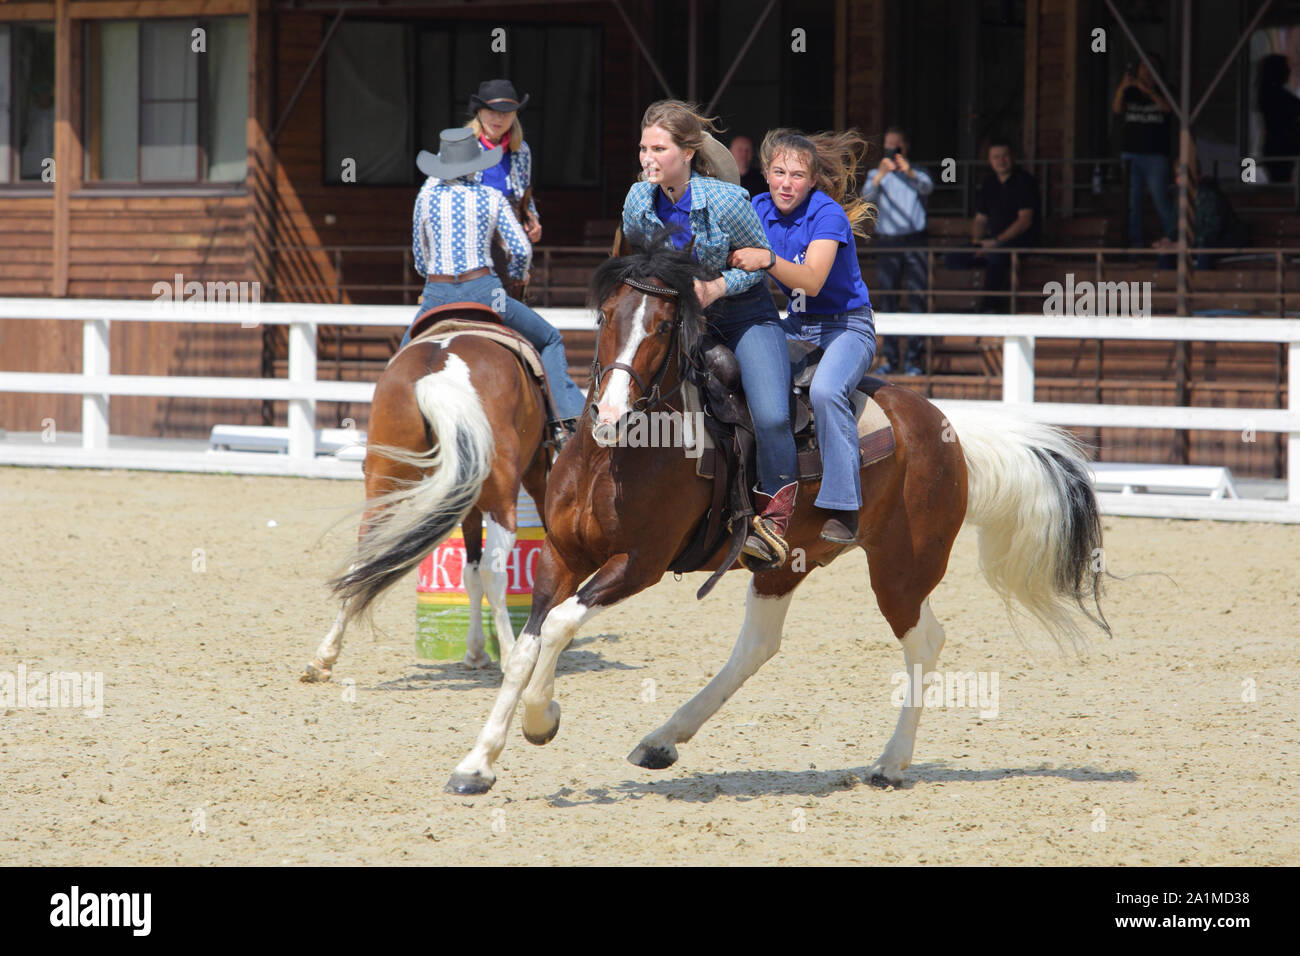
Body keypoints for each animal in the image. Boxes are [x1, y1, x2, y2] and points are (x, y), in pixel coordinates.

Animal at [304, 306, 553, 681]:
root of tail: (439, 375)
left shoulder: (467, 505)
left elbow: (469, 573)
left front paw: (475, 651)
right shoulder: (537, 473)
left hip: (385, 489)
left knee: (364, 563)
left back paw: (324, 657)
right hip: (502, 500)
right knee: (495, 573)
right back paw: (512, 659)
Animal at [447, 243, 1107, 796]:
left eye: (662, 326)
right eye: (608, 317)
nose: (609, 412)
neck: (617, 456)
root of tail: (947, 428)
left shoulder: (639, 564)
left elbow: (560, 625)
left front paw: (542, 719)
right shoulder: (561, 554)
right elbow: (527, 646)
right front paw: (477, 763)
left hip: (901, 568)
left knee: (924, 640)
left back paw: (890, 763)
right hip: (788, 560)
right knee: (758, 646)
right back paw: (662, 740)